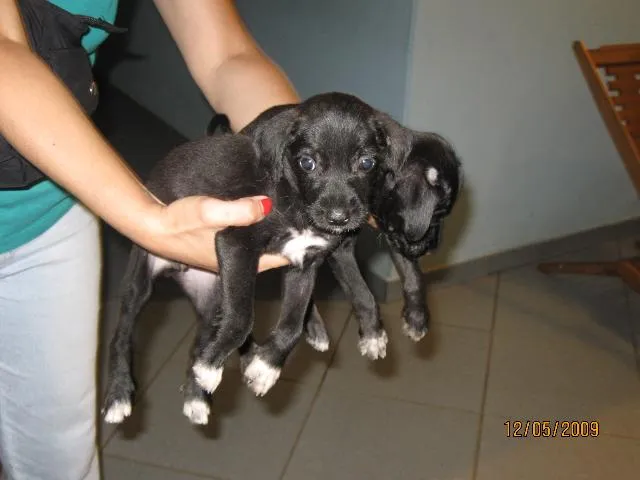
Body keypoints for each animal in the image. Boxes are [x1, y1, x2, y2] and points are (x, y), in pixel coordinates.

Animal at [102, 92, 392, 424]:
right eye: (307, 162)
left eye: (367, 162)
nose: (338, 217)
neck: (294, 198)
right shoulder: (236, 242)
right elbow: (242, 318)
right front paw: (211, 368)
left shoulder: (304, 264)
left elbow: (293, 323)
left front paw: (266, 367)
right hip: (142, 278)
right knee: (121, 334)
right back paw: (120, 393)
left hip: (214, 295)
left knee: (202, 337)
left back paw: (197, 395)